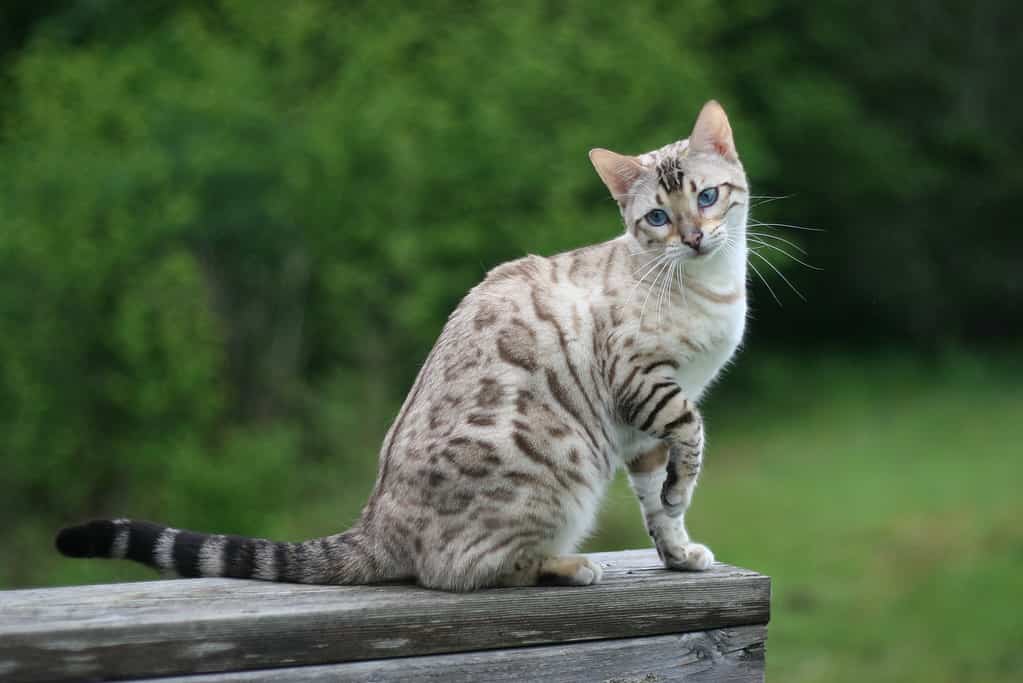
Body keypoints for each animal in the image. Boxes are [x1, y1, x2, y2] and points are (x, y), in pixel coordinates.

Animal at [58, 98, 752, 588]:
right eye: (657, 217)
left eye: (706, 197)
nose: (694, 239)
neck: (714, 289)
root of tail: (374, 523)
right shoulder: (647, 385)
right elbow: (691, 441)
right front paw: (682, 491)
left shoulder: (642, 430)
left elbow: (660, 505)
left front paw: (680, 554)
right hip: (566, 472)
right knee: (459, 572)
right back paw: (569, 566)